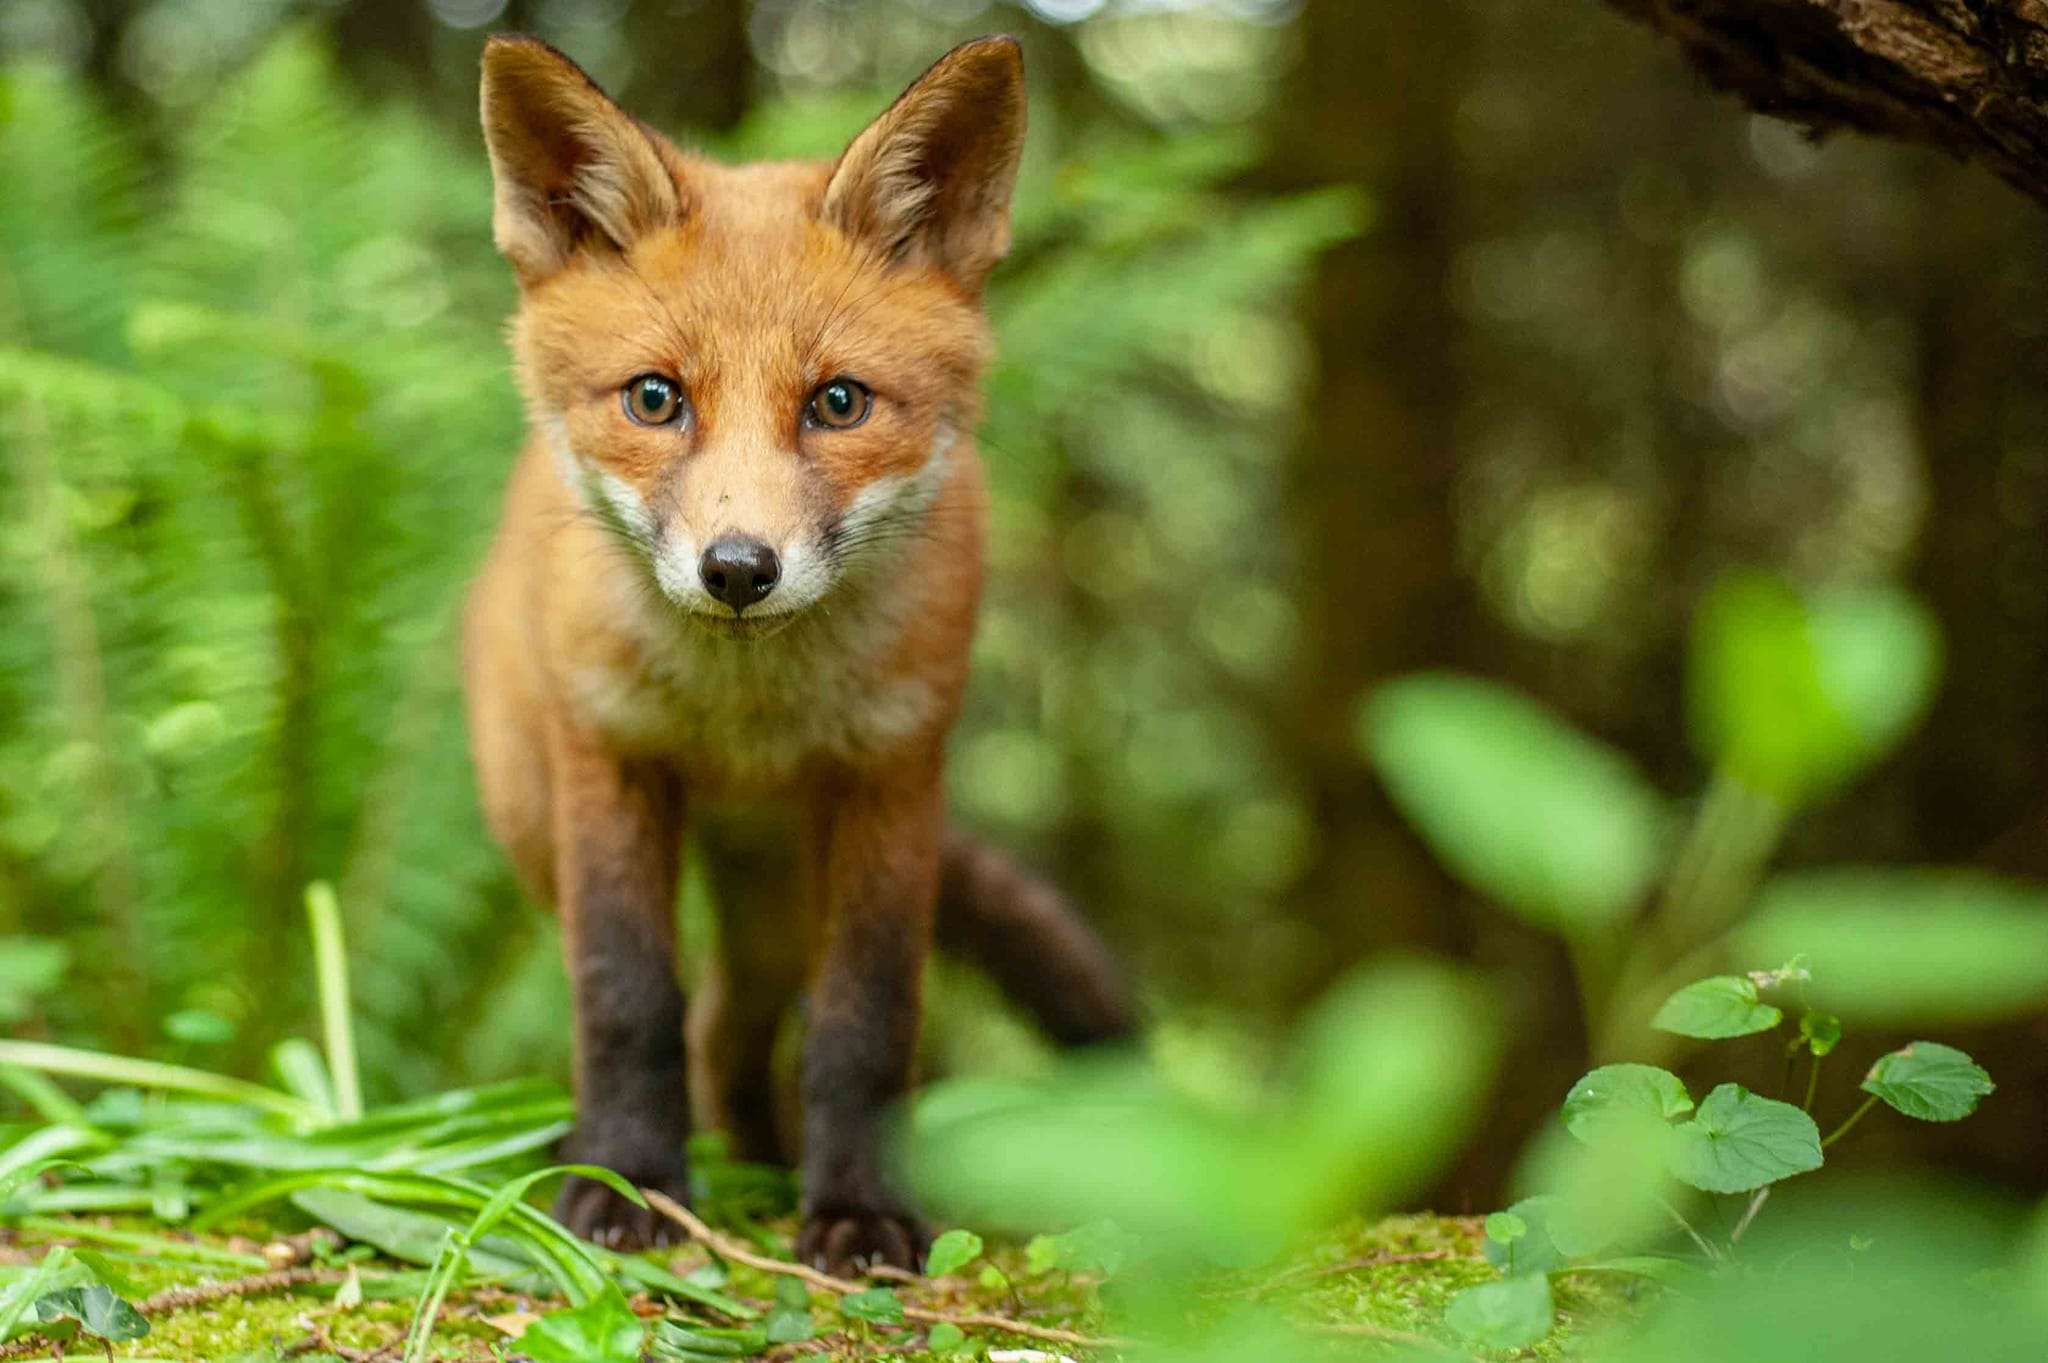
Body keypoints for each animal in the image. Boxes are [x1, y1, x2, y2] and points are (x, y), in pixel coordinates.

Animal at [461, 33, 1135, 1272]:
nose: (737, 568)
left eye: (837, 402)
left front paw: (858, 1208)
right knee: (685, 1010)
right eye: (655, 398)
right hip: (537, 820)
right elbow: (624, 998)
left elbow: (864, 1025)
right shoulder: (607, 761)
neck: (747, 710)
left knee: (733, 1021)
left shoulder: (893, 776)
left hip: (780, 892)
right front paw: (625, 1181)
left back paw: (766, 1168)